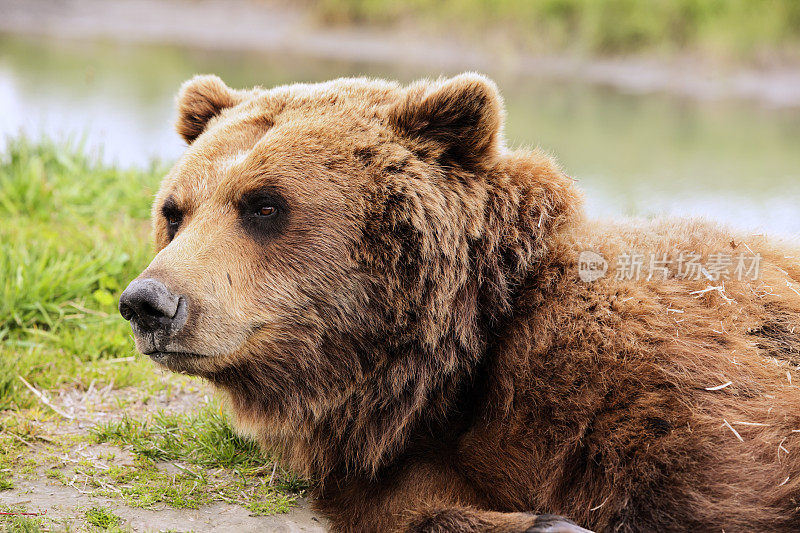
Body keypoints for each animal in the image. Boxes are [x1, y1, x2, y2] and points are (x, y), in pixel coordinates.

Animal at [119, 71, 800, 532]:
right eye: (174, 212)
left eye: (263, 205)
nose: (149, 303)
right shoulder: (398, 457)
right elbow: (413, 507)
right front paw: (549, 522)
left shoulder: (653, 374)